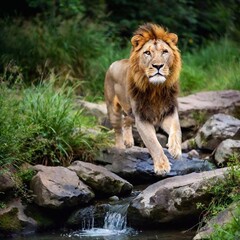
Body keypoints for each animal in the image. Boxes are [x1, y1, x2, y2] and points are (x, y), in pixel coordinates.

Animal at [104, 23, 181, 176]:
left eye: (165, 52)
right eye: (147, 53)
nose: (158, 66)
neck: (156, 89)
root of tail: (114, 63)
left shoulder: (168, 111)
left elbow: (176, 129)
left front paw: (175, 149)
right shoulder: (142, 118)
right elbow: (154, 143)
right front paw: (162, 166)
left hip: (130, 111)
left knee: (126, 121)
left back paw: (128, 141)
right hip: (113, 109)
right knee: (118, 130)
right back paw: (121, 148)